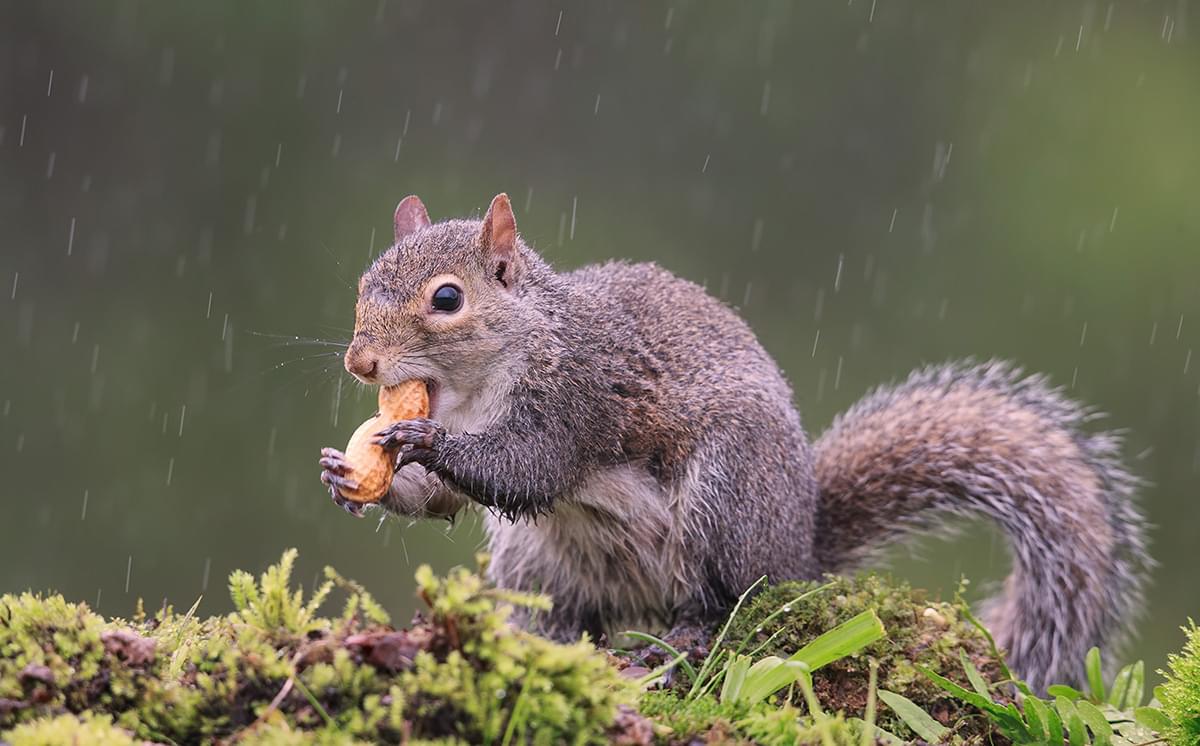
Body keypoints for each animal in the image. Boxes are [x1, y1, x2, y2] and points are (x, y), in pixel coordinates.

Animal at [319, 193, 1152, 695]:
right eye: (360, 284)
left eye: (447, 298)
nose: (360, 364)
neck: (480, 379)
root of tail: (800, 548)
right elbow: (445, 502)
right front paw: (351, 473)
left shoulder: (578, 398)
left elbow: (529, 470)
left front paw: (419, 440)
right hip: (539, 561)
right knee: (573, 612)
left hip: (725, 497)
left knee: (729, 602)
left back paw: (680, 638)